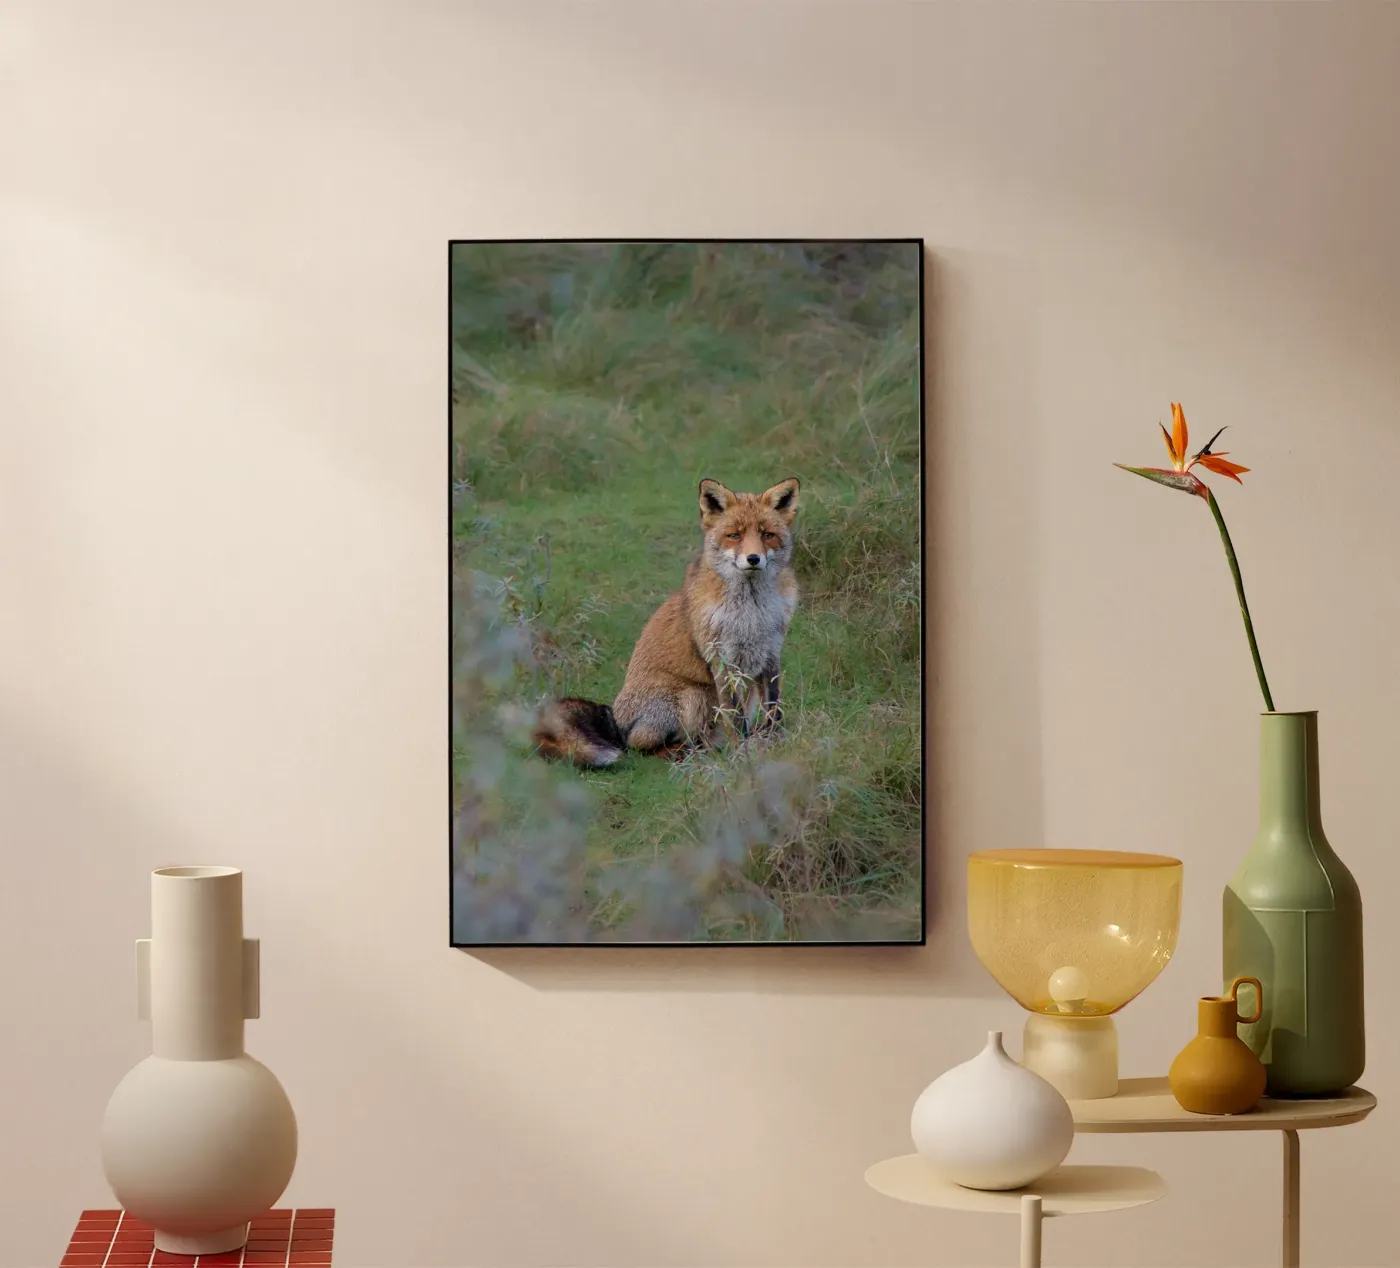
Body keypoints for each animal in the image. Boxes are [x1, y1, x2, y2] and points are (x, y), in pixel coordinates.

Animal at [532, 476, 801, 768]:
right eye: (734, 535)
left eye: (767, 535)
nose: (753, 559)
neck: (752, 611)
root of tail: (616, 720)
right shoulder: (721, 657)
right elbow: (735, 716)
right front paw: (744, 754)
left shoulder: (771, 650)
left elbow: (774, 708)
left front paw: (773, 743)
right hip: (692, 696)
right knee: (638, 746)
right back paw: (678, 752)